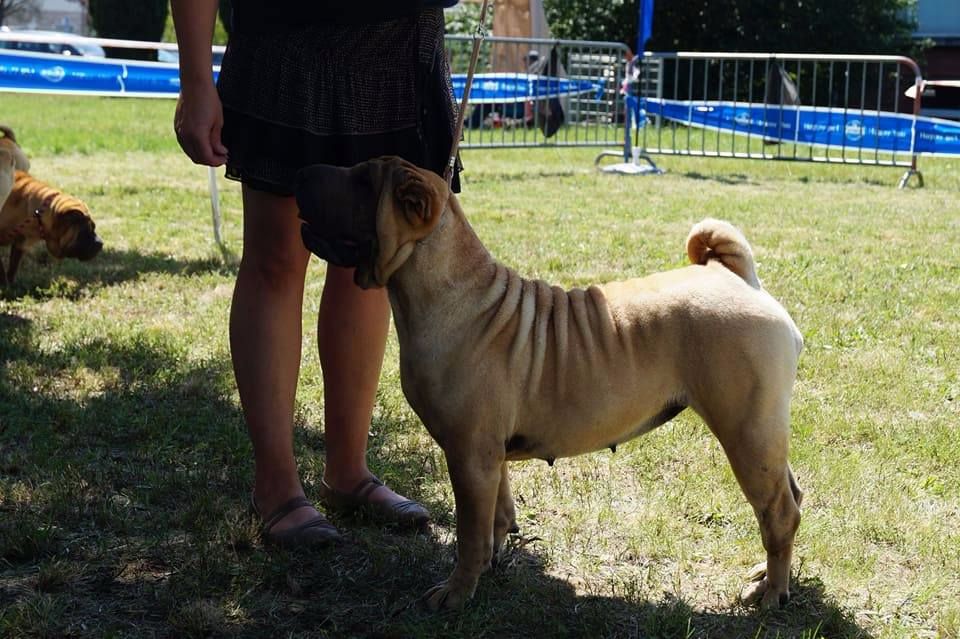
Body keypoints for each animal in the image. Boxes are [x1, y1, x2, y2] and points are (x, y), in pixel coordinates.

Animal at [296, 155, 808, 608]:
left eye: (363, 182)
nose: (305, 170)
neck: (449, 293)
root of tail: (735, 277)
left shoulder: (468, 455)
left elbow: (468, 534)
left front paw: (456, 593)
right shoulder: (488, 457)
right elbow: (496, 516)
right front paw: (490, 564)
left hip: (747, 433)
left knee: (779, 512)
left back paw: (771, 592)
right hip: (760, 436)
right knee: (789, 501)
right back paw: (764, 575)